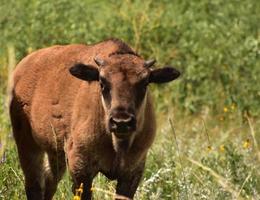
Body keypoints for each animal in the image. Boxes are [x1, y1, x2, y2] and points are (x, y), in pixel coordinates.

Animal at [10, 38, 181, 199]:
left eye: (145, 83)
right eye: (102, 82)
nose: (121, 122)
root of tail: (22, 66)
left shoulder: (133, 170)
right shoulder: (81, 167)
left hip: (55, 153)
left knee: (49, 183)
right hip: (28, 146)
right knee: (34, 185)